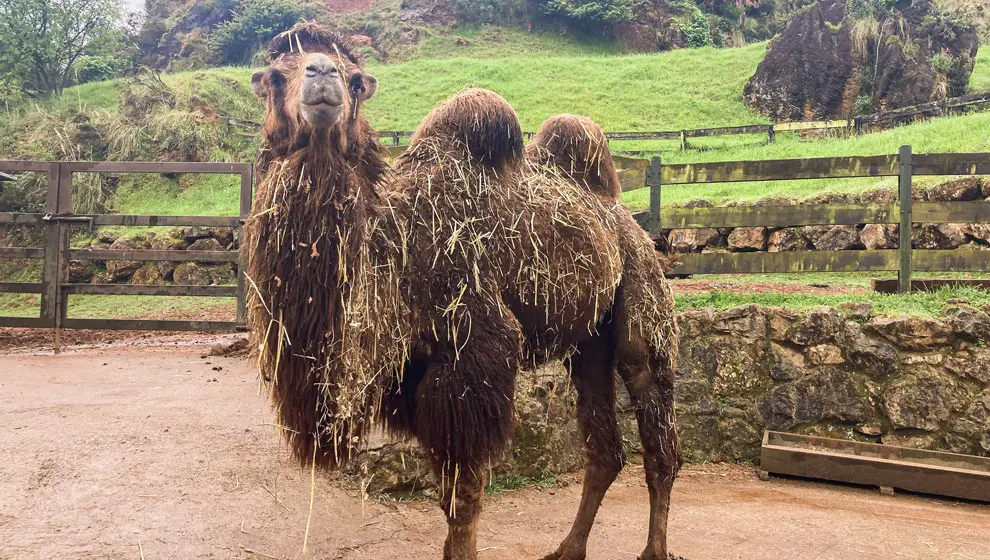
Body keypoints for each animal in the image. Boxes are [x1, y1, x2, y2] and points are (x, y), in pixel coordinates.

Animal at [245, 22, 681, 560]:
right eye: (274, 77)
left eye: (355, 81)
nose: (322, 74)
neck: (391, 253)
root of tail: (625, 216)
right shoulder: (413, 379)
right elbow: (450, 492)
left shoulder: (474, 356)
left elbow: (464, 497)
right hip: (587, 341)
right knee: (605, 448)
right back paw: (567, 548)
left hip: (642, 292)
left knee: (657, 429)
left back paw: (654, 548)